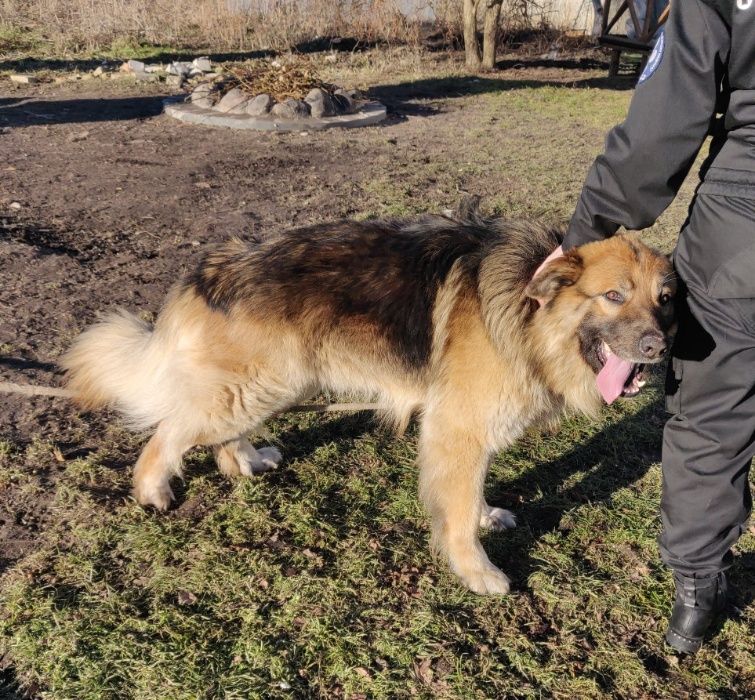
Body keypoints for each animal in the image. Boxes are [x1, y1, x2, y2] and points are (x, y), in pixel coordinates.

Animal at [62, 209, 676, 594]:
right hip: (256, 388)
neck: (529, 311)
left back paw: (245, 461)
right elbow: (455, 511)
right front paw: (475, 571)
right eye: (613, 296)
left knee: (215, 434)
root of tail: (214, 266)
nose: (658, 347)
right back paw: (153, 489)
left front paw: (484, 516)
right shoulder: (457, 428)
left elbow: (470, 491)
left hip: (266, 386)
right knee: (168, 432)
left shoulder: (469, 431)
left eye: (664, 299)